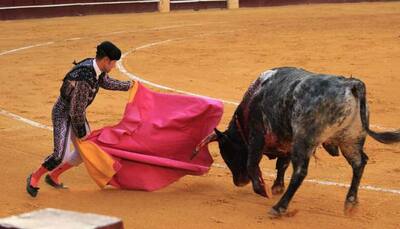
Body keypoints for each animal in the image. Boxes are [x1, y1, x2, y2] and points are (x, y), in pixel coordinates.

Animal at [191, 66, 400, 216]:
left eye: (228, 153)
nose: (239, 182)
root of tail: (351, 84)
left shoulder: (257, 135)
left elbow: (253, 162)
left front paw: (262, 189)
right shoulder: (286, 141)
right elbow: (281, 164)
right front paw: (276, 186)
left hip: (305, 139)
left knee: (300, 171)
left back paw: (279, 208)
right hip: (351, 139)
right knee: (359, 163)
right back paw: (350, 203)